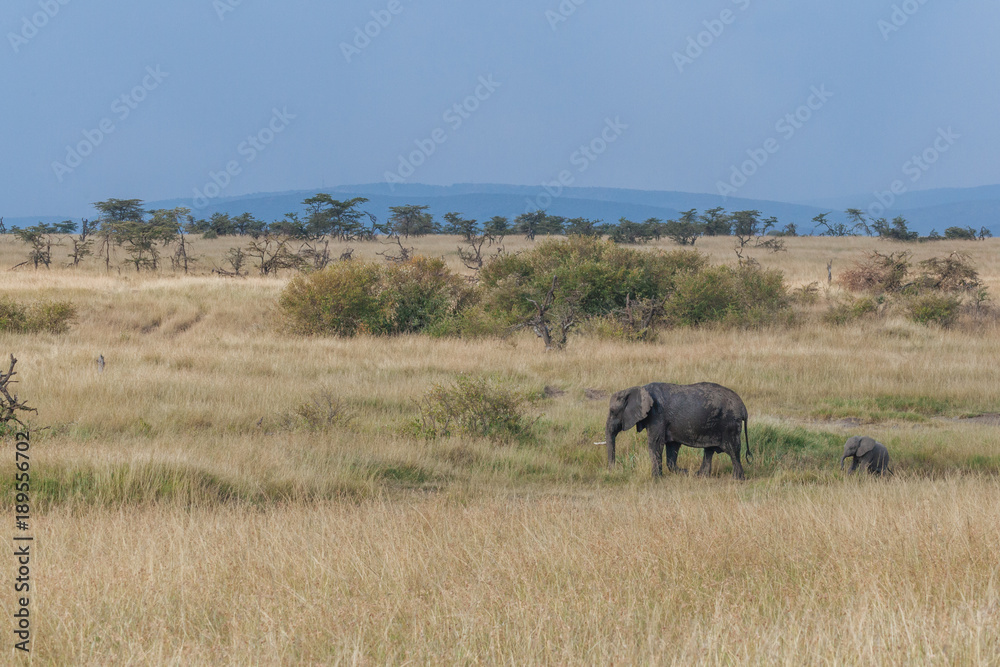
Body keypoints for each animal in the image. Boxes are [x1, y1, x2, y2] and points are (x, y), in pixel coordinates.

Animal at [601, 382, 751, 479]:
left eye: (613, 411)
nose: (613, 470)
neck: (639, 389)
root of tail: (744, 408)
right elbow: (672, 447)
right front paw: (684, 472)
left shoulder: (657, 415)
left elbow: (655, 443)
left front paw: (656, 479)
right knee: (709, 451)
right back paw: (700, 476)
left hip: (730, 424)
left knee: (733, 451)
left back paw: (737, 479)